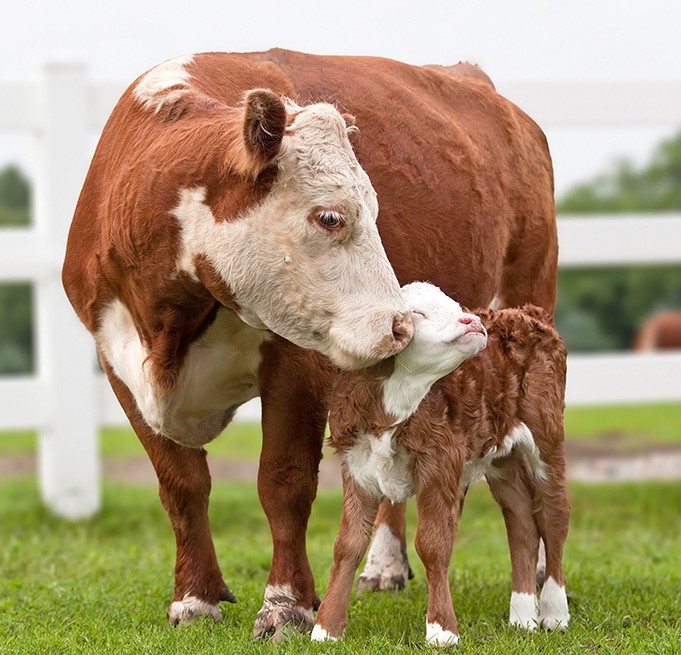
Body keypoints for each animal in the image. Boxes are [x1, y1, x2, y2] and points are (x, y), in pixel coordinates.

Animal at [314, 284, 568, 648]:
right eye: (417, 313)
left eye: (457, 306)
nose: (473, 321)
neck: (393, 405)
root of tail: (526, 312)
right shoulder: (357, 466)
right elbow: (348, 544)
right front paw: (325, 629)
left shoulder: (439, 463)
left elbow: (432, 544)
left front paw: (441, 630)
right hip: (501, 455)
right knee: (521, 521)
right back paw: (522, 617)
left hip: (546, 435)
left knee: (554, 515)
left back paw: (554, 612)